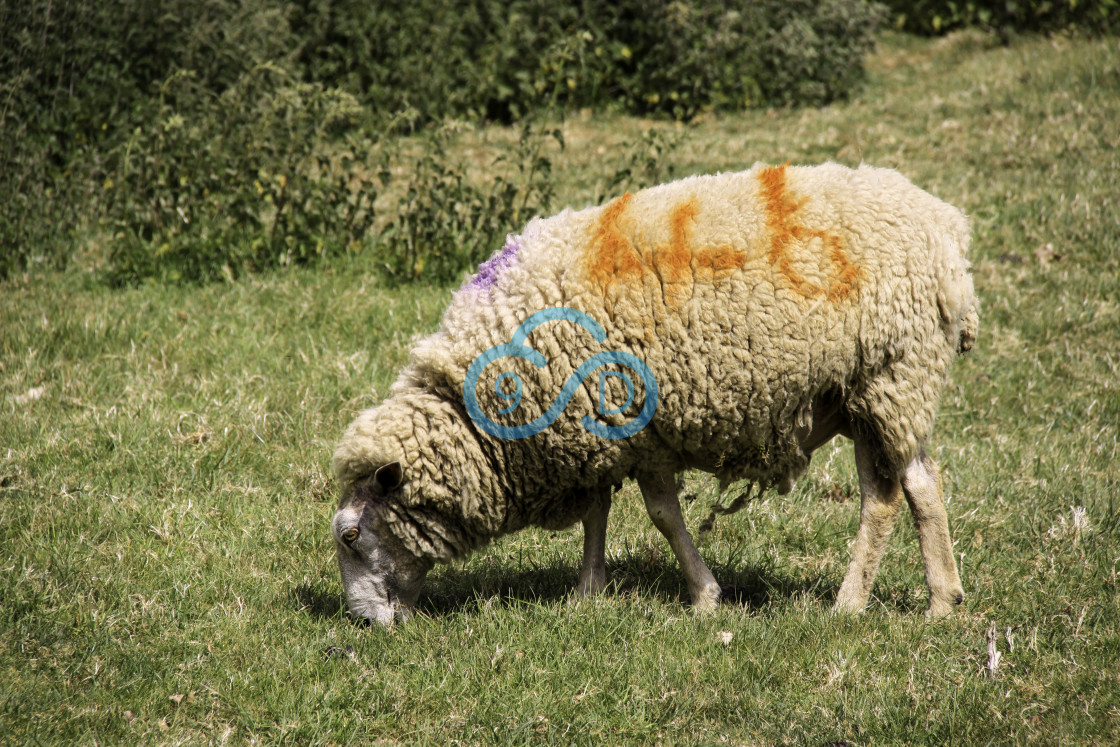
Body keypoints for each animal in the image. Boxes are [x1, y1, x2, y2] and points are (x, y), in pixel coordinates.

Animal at [327, 162, 976, 627]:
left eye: (350, 536)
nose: (364, 625)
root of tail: (946, 229)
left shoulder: (638, 427)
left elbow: (662, 516)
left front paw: (705, 596)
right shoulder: (596, 430)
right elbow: (598, 510)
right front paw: (587, 592)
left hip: (892, 375)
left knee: (896, 493)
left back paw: (872, 603)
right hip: (868, 391)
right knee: (906, 488)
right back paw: (920, 601)